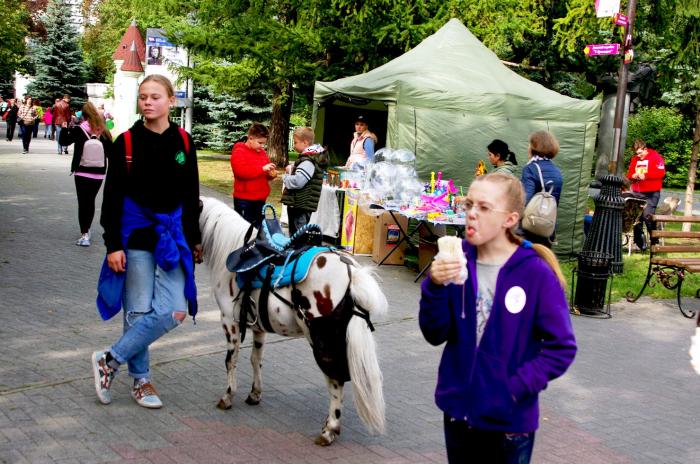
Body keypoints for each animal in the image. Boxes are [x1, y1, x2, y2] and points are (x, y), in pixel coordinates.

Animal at [200, 198, 388, 444]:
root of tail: (351, 273)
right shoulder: (259, 327)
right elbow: (255, 359)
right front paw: (254, 394)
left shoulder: (229, 321)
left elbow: (231, 360)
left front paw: (227, 396)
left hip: (322, 341)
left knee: (335, 380)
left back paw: (329, 430)